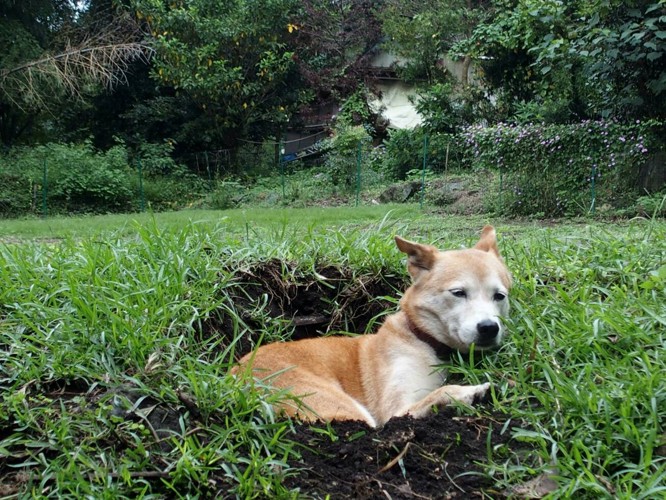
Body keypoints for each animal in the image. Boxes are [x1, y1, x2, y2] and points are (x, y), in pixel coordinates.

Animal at [236, 227, 510, 426]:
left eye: (500, 296)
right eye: (458, 293)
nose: (489, 328)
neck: (425, 341)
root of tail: (234, 380)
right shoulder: (396, 411)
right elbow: (436, 394)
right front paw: (465, 392)